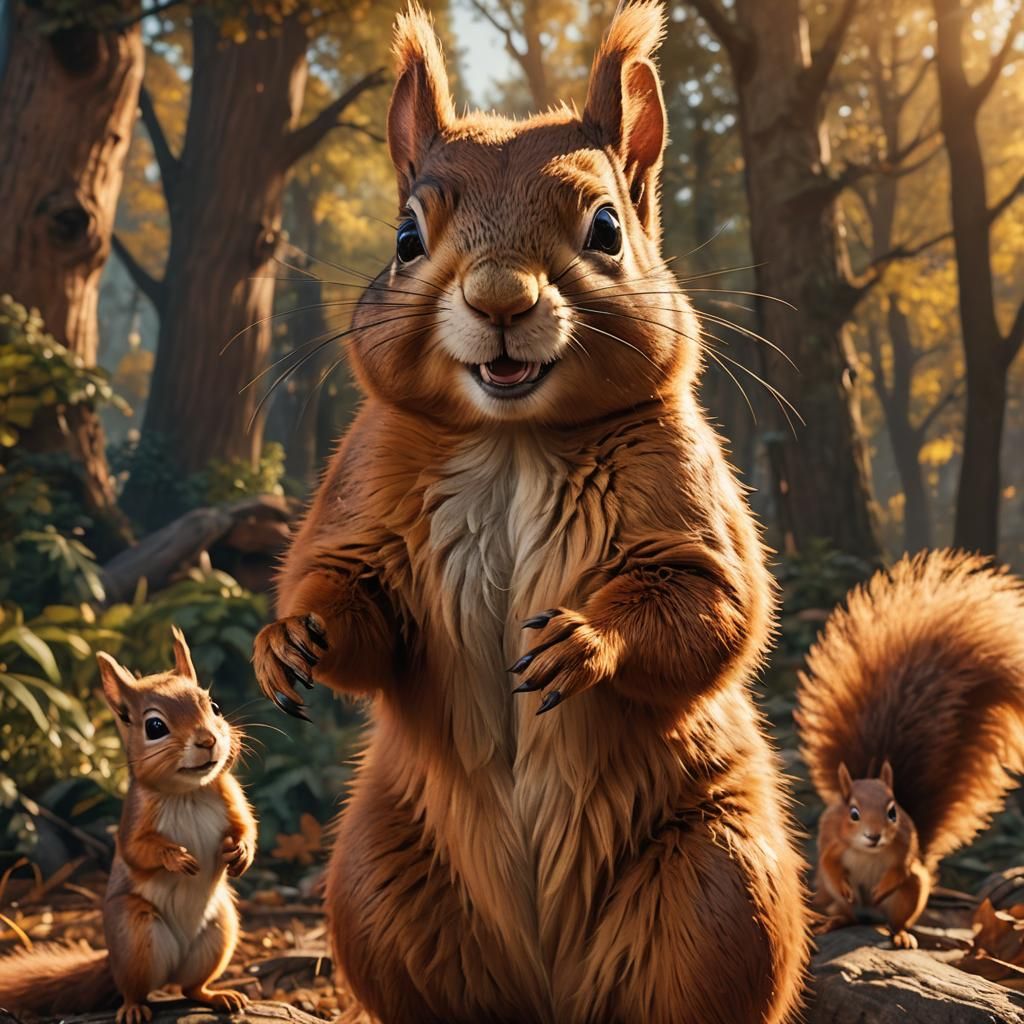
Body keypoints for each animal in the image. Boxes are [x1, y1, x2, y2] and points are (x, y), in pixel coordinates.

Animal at [0, 628, 256, 1023]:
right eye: (155, 726)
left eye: (214, 707)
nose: (208, 740)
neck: (187, 793)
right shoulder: (133, 817)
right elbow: (137, 851)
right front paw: (175, 857)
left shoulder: (231, 796)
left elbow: (247, 828)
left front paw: (240, 852)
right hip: (135, 935)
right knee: (135, 988)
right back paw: (134, 1008)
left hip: (219, 933)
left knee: (191, 988)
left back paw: (217, 995)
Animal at [251, 4, 809, 1022]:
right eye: (405, 237)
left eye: (607, 228)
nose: (500, 298)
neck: (511, 440)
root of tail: (553, 988)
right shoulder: (362, 495)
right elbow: (349, 594)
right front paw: (289, 639)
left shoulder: (687, 500)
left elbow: (711, 606)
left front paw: (583, 643)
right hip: (377, 879)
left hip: (720, 889)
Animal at [796, 548, 1024, 949]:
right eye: (852, 813)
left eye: (893, 812)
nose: (874, 836)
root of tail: (869, 916)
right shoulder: (832, 843)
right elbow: (827, 862)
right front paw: (843, 881)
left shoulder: (904, 847)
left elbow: (899, 866)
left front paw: (884, 884)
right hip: (833, 896)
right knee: (846, 909)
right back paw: (836, 919)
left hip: (912, 891)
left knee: (897, 915)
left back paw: (900, 934)